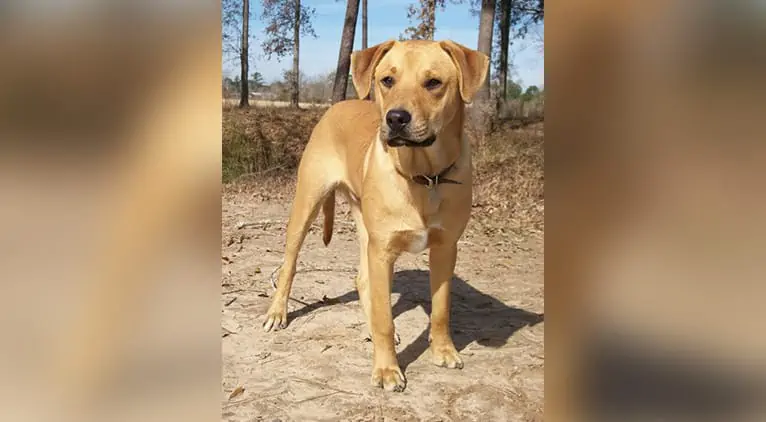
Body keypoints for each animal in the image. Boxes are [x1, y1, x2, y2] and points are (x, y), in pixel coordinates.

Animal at [264, 39, 492, 392]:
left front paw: (443, 350)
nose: (396, 118)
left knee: (362, 279)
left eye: (434, 82)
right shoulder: (383, 251)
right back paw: (278, 312)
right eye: (387, 80)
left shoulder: (445, 249)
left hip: (365, 229)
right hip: (307, 205)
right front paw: (386, 369)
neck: (424, 177)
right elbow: (386, 318)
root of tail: (336, 106)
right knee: (289, 264)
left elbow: (441, 308)